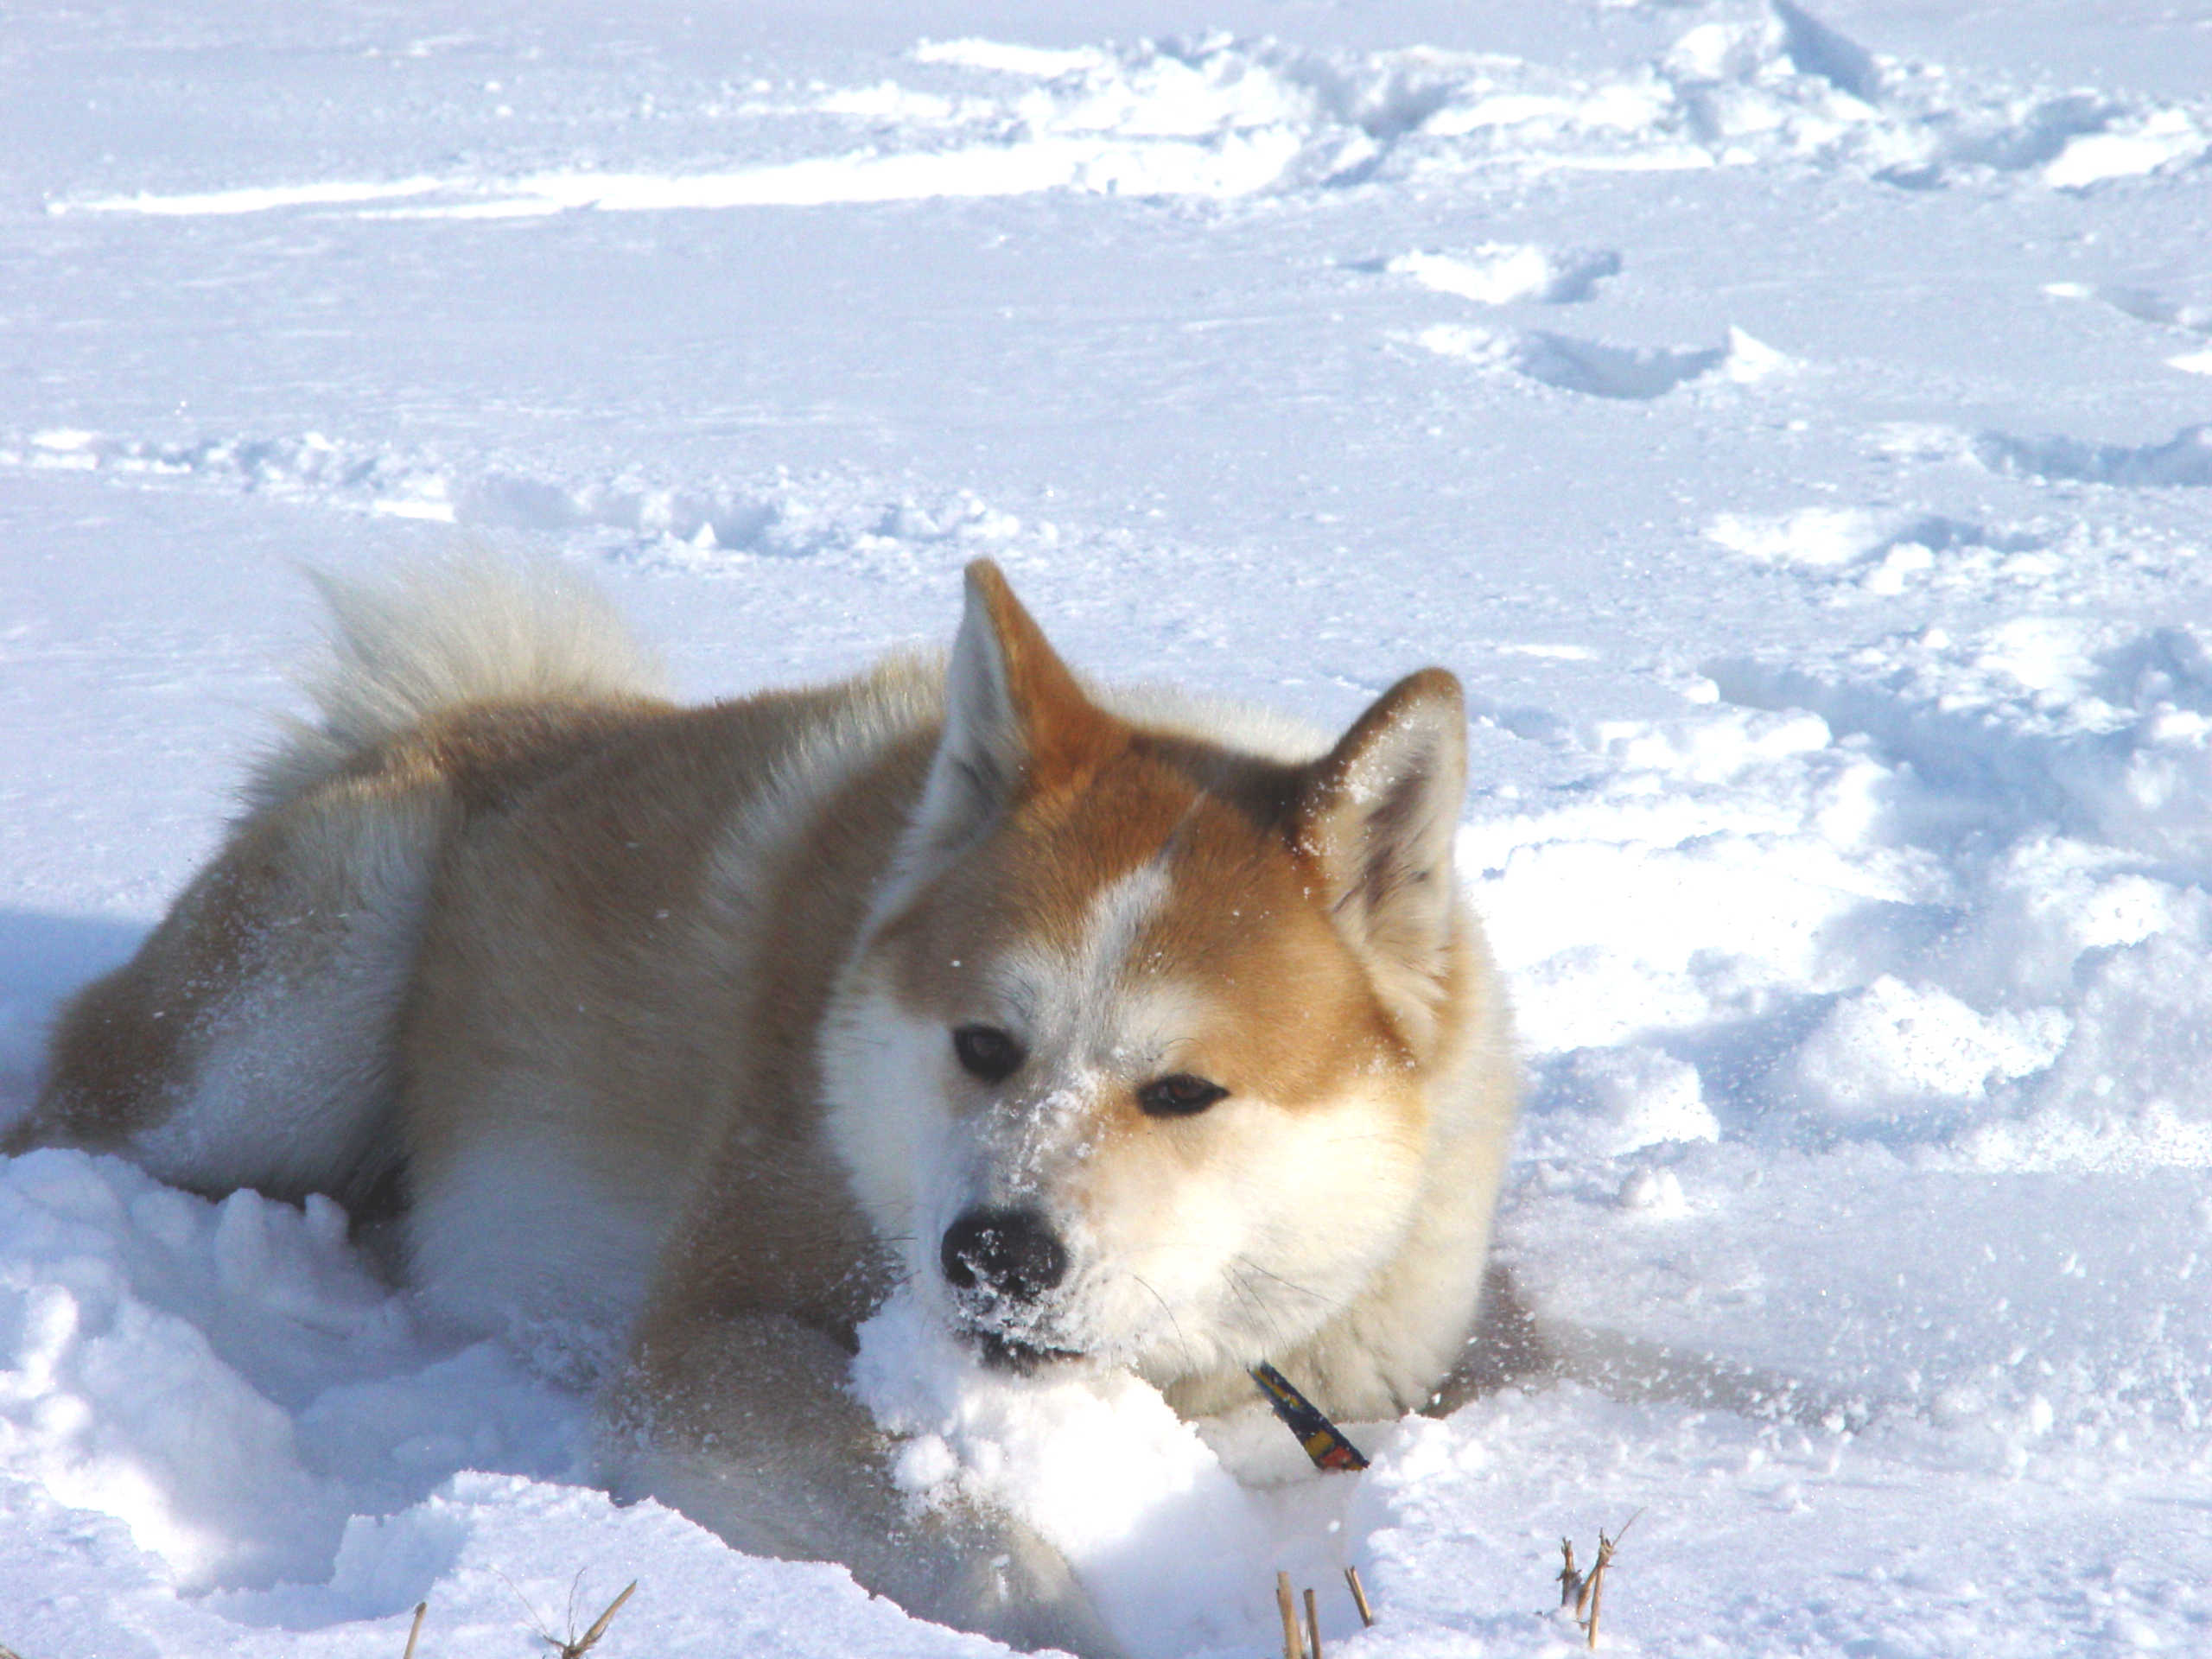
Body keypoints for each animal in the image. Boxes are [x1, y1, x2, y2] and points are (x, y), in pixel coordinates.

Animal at [13, 562, 1522, 1659]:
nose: (994, 1253)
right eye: (984, 1044)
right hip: (289, 1022)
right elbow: (960, 1524)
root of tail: (431, 724)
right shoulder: (693, 1355)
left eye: (1185, 1092)